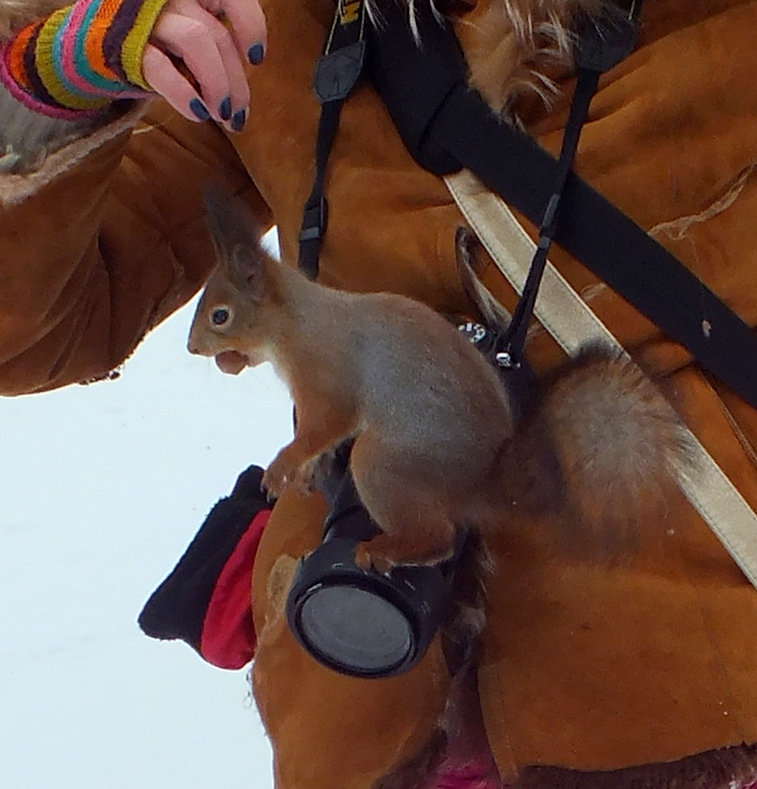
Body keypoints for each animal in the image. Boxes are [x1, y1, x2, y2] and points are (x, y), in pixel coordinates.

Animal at [188, 191, 684, 572]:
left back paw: (381, 549)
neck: (294, 322)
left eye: (220, 316)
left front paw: (282, 466)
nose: (192, 349)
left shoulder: (326, 376)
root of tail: (480, 481)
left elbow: (326, 425)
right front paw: (305, 471)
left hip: (386, 465)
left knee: (438, 537)